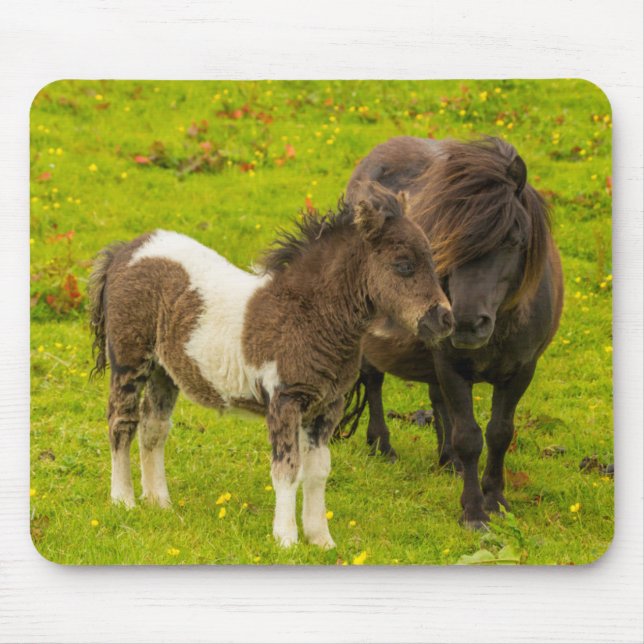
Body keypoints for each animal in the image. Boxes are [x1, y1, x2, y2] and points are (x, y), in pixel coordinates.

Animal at [88, 184, 454, 548]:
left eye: (431, 259)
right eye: (403, 265)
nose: (445, 319)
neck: (308, 315)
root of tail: (124, 251)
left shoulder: (327, 406)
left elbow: (318, 471)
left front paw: (321, 539)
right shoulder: (285, 400)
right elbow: (287, 468)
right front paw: (286, 539)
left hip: (164, 372)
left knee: (154, 428)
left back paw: (159, 502)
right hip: (129, 360)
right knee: (122, 422)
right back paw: (124, 500)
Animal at [342, 136, 563, 528]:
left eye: (514, 239)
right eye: (446, 240)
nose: (466, 323)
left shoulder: (521, 371)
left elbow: (499, 433)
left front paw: (496, 499)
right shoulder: (451, 365)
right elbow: (469, 437)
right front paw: (473, 511)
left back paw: (449, 461)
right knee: (373, 380)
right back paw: (382, 446)